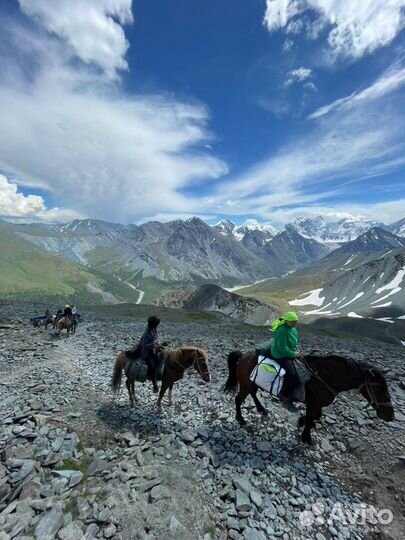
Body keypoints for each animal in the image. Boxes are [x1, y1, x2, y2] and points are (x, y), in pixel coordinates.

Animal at [223, 352, 392, 446]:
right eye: (379, 389)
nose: (390, 416)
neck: (324, 377)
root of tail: (243, 357)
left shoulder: (316, 404)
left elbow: (315, 416)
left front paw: (301, 423)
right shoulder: (313, 402)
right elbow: (312, 418)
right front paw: (306, 437)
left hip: (252, 384)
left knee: (253, 394)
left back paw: (262, 410)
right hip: (245, 385)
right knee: (238, 399)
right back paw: (241, 419)